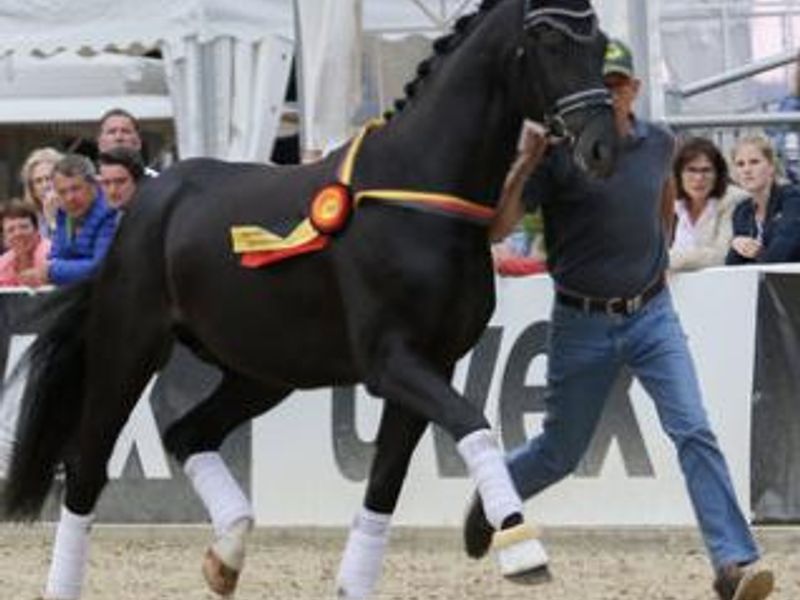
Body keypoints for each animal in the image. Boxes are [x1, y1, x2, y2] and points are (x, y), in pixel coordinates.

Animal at [2, 0, 617, 598]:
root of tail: (152, 190)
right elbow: (474, 424)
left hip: (263, 372)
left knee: (186, 434)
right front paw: (521, 547)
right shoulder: (391, 362)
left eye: (598, 39)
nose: (601, 146)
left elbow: (384, 486)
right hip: (128, 350)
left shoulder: (433, 364)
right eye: (549, 39)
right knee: (87, 468)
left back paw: (226, 556)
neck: (420, 196)